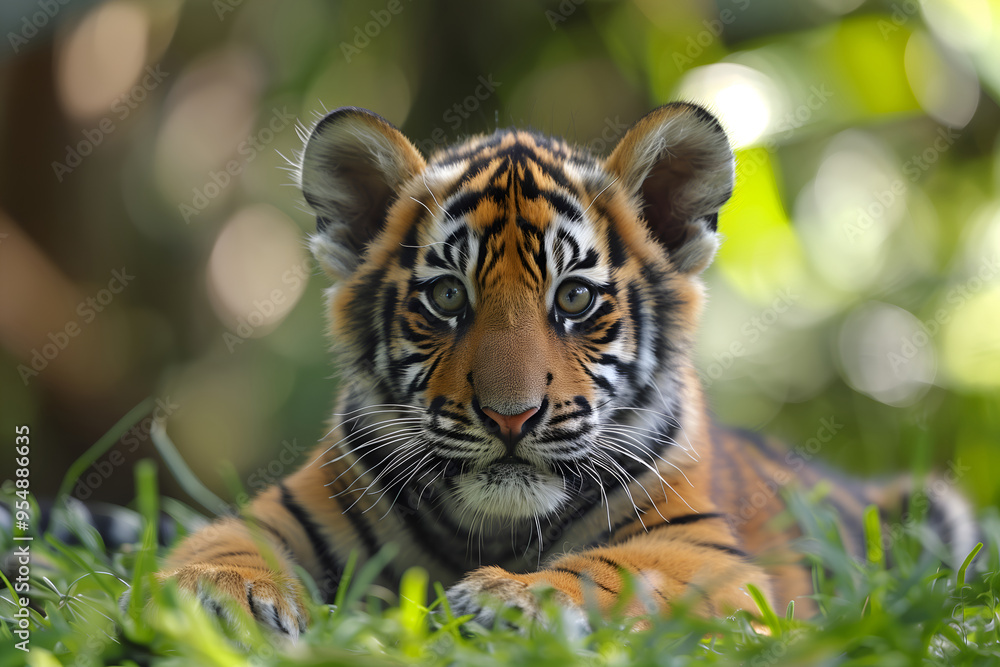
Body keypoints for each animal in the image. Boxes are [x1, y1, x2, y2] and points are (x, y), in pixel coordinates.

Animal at [158, 103, 979, 638]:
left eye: (575, 298)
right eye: (447, 297)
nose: (510, 417)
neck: (492, 528)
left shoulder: (708, 555)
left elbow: (613, 567)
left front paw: (507, 597)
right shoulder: (289, 508)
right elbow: (222, 541)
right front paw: (220, 591)